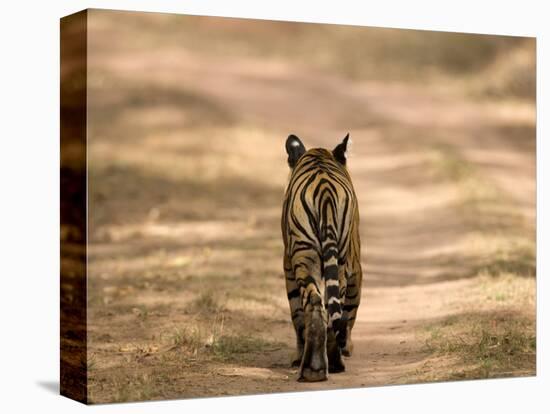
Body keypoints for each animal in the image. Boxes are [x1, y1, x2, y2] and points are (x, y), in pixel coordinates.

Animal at [282, 133, 364, 382]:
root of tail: (325, 189)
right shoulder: (355, 268)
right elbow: (350, 311)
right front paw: (347, 347)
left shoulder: (288, 264)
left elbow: (297, 314)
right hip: (337, 261)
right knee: (328, 307)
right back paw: (329, 363)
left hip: (305, 256)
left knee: (316, 303)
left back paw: (313, 368)